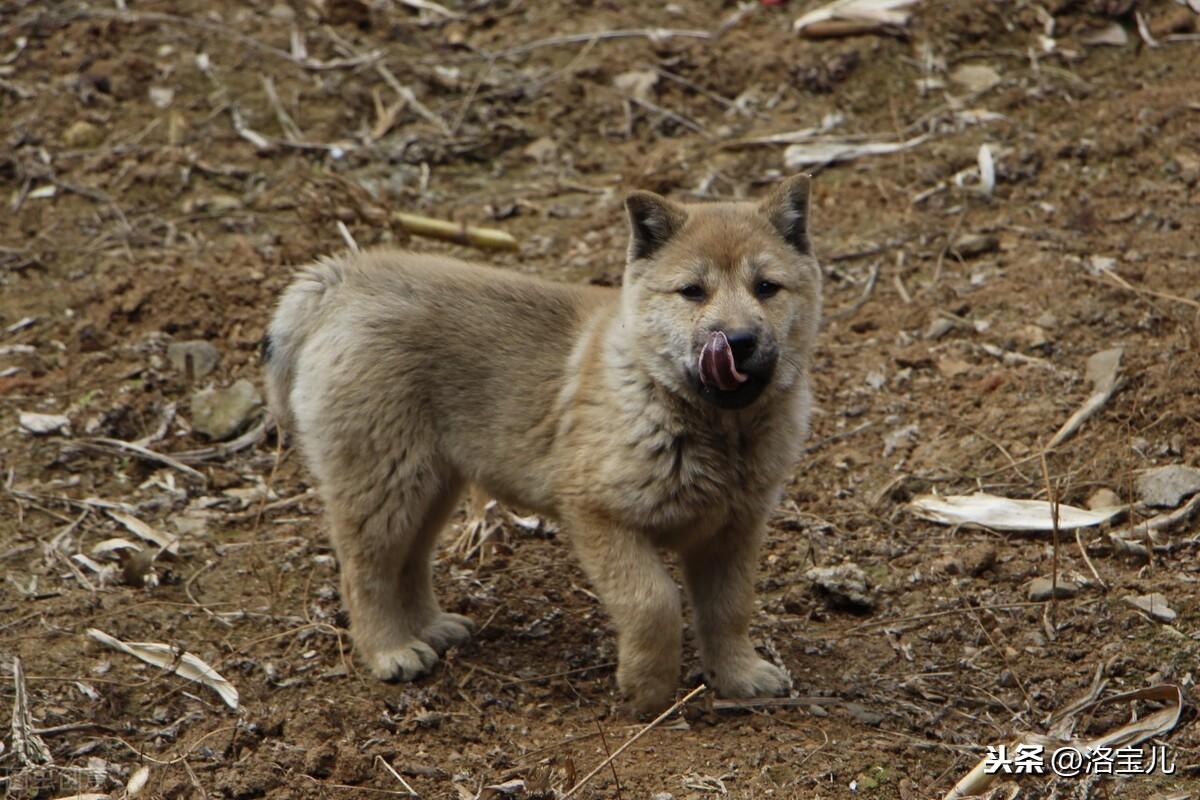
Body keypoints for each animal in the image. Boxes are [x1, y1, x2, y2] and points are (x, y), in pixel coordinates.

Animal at [264, 175, 825, 714]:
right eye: (692, 291)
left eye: (767, 288)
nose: (738, 341)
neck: (712, 426)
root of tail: (343, 278)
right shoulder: (600, 517)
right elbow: (653, 603)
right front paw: (646, 691)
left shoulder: (734, 532)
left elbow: (730, 609)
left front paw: (738, 676)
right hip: (384, 482)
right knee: (365, 572)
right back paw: (390, 650)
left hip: (429, 484)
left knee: (410, 561)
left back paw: (431, 627)